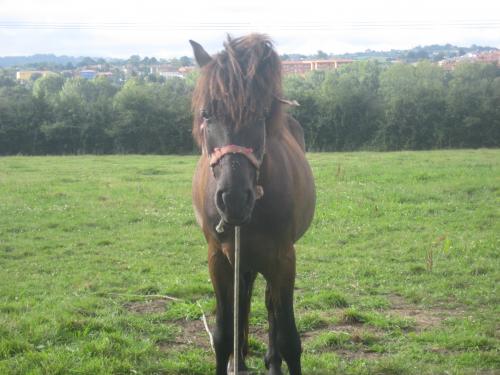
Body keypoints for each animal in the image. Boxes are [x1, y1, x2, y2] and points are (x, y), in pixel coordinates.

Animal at [189, 34, 314, 375]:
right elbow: (223, 334)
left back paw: (271, 362)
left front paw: (277, 357)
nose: (233, 198)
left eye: (260, 115)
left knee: (270, 305)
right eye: (207, 114)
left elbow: (288, 338)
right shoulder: (218, 258)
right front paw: (234, 357)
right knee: (243, 300)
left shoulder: (284, 258)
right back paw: (241, 360)